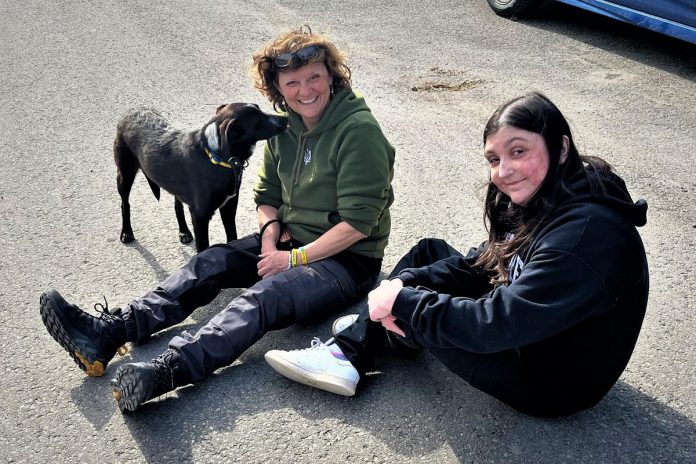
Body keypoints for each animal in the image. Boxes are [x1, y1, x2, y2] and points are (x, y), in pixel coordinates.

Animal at [113, 104, 286, 252]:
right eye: (258, 119)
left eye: (260, 109)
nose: (285, 119)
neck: (216, 157)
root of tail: (133, 110)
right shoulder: (200, 217)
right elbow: (203, 247)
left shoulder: (229, 205)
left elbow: (233, 237)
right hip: (124, 174)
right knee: (124, 204)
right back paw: (126, 232)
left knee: (177, 205)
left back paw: (184, 231)